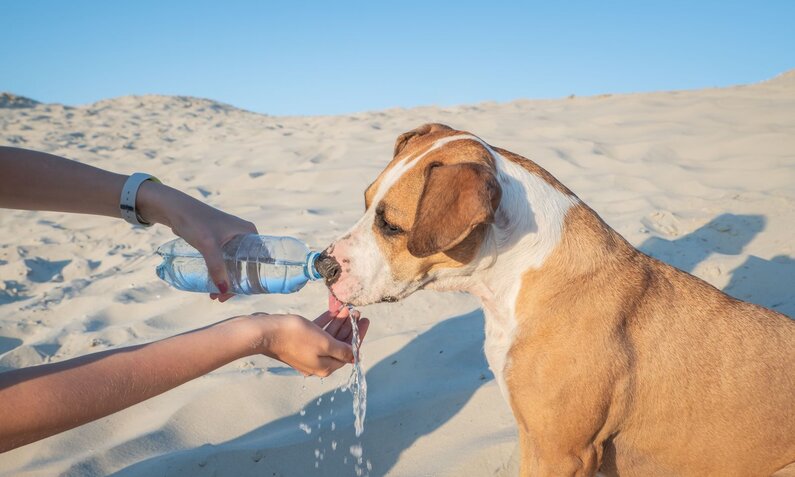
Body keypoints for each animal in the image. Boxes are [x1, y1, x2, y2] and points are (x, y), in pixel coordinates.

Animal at [320, 123, 795, 476]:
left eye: (391, 225)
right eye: (366, 202)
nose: (324, 265)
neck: (513, 278)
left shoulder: (563, 451)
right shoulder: (534, 437)